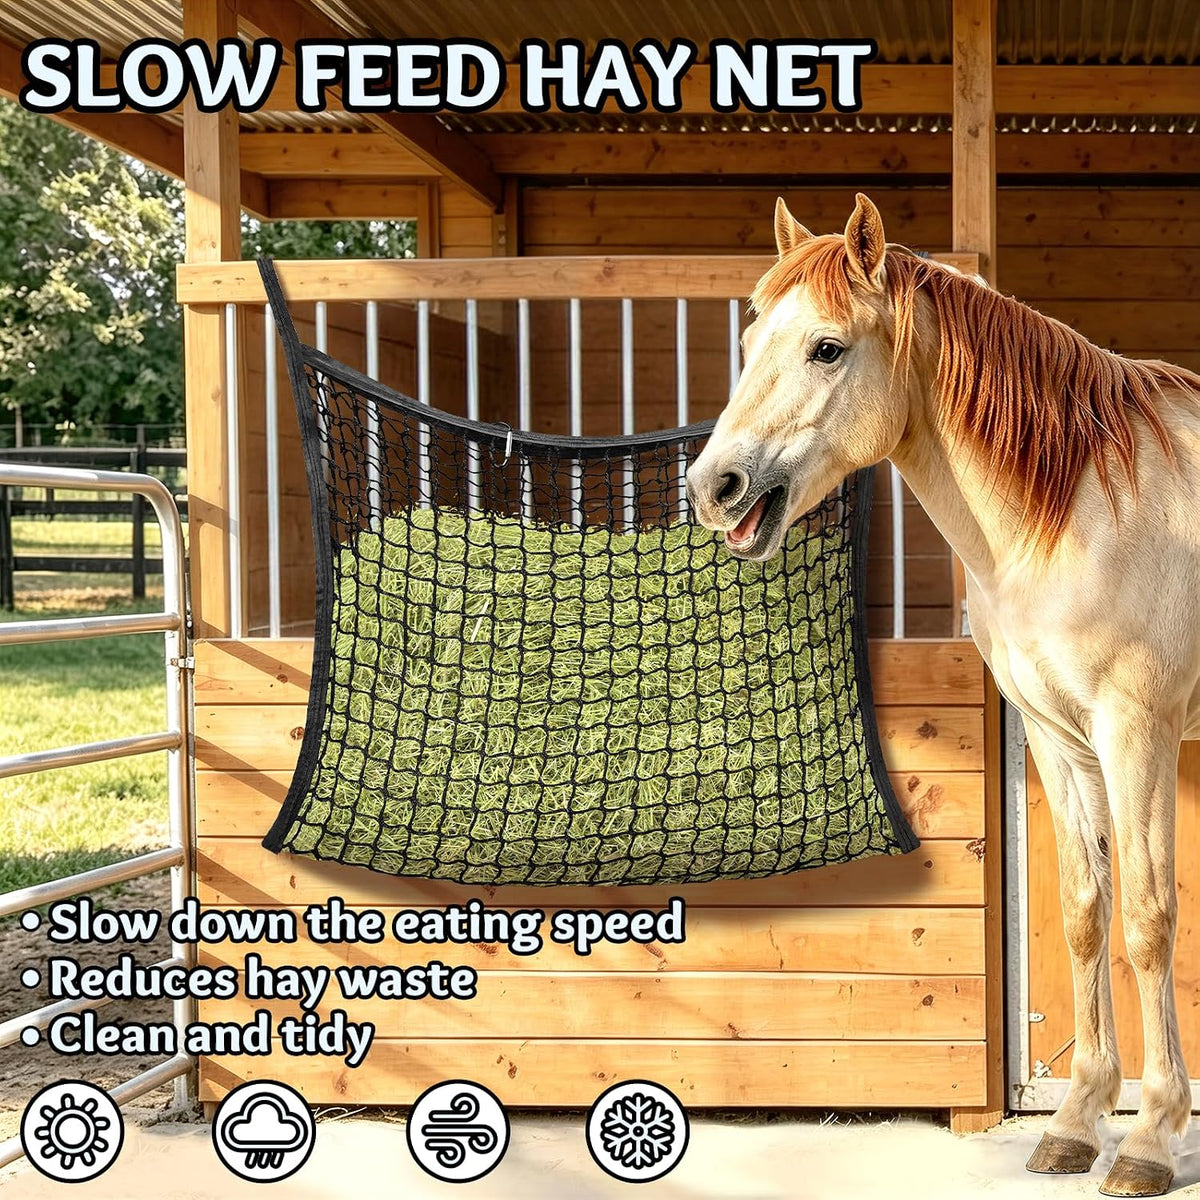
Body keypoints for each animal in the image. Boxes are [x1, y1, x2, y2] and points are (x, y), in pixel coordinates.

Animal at [686, 193, 1200, 1197]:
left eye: (827, 348)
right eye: (751, 338)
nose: (713, 486)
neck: (1084, 504)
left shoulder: (1138, 732)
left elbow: (1149, 920)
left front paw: (1151, 1140)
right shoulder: (1058, 737)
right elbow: (1088, 913)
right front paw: (1076, 1126)